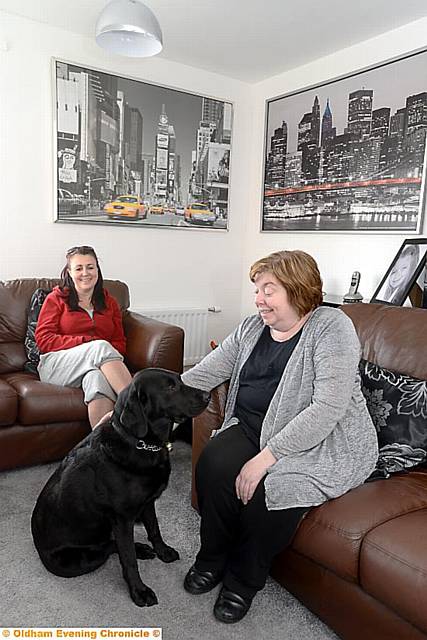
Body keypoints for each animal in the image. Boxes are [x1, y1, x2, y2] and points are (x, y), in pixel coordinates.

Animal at [30, 368, 211, 608]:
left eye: (180, 380)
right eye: (170, 387)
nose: (208, 396)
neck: (140, 443)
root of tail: (37, 545)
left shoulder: (148, 503)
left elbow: (155, 529)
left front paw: (162, 551)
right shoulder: (122, 519)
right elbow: (128, 560)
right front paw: (139, 591)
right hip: (80, 561)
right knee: (110, 547)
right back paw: (138, 549)